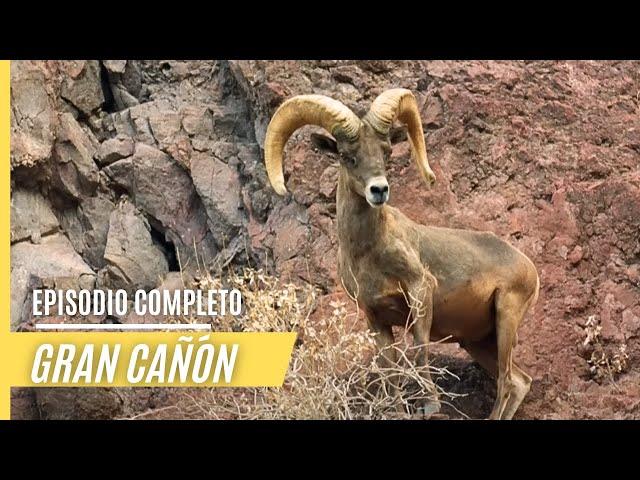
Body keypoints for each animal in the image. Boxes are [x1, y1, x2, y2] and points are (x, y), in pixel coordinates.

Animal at [264, 88, 540, 418]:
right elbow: (390, 370)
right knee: (520, 381)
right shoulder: (375, 317)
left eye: (386, 152)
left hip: (505, 317)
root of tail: (530, 270)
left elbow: (419, 351)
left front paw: (430, 405)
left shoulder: (420, 290)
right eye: (347, 156)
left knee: (507, 381)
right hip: (478, 341)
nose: (379, 190)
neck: (367, 254)